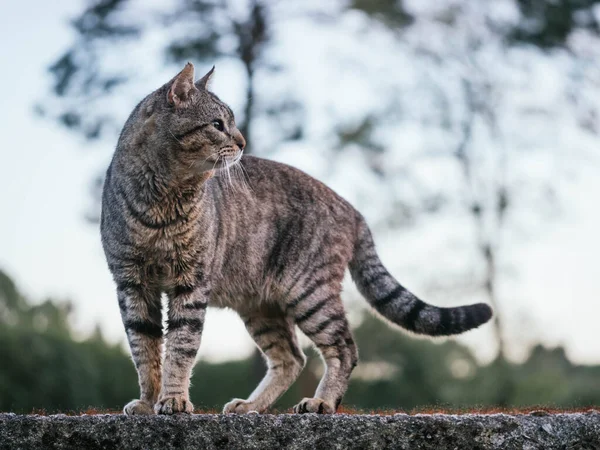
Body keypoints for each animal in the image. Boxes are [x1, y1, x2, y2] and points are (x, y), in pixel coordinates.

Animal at [99, 62, 492, 414]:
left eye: (232, 123)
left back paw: (322, 402)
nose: (242, 141)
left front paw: (174, 399)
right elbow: (144, 349)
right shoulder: (132, 284)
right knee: (291, 357)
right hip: (261, 306)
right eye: (217, 125)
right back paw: (252, 406)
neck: (162, 201)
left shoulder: (191, 282)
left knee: (344, 348)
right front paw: (149, 401)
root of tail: (352, 208)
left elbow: (180, 346)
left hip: (309, 292)